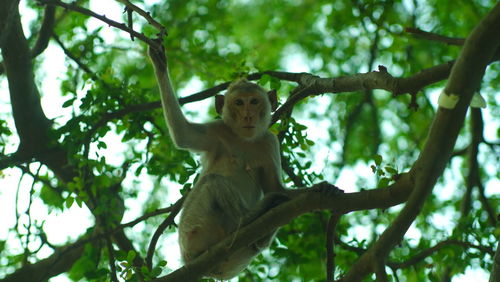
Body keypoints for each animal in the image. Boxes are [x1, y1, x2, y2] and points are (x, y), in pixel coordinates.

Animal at [146, 43, 338, 278]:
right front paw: (159, 63)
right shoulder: (218, 130)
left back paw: (262, 233)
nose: (248, 115)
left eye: (254, 102)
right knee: (214, 182)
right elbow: (183, 134)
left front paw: (321, 188)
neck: (243, 140)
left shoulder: (269, 141)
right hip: (193, 229)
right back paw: (250, 216)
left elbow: (276, 185)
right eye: (239, 103)